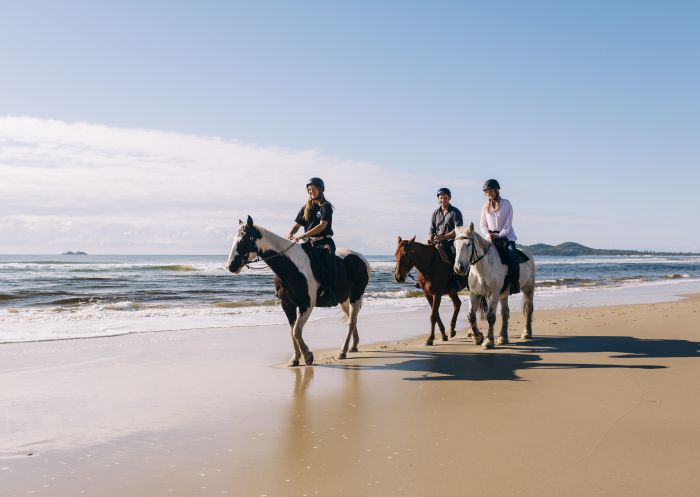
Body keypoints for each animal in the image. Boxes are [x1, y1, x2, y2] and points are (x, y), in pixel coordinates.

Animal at [228, 216, 372, 364]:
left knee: (350, 322)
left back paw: (342, 351)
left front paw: (308, 355)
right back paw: (353, 346)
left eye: (244, 239)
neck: (291, 267)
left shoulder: (306, 304)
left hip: (356, 296)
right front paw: (295, 358)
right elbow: (292, 331)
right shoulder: (287, 305)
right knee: (351, 319)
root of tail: (362, 258)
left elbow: (297, 331)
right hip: (344, 299)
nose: (231, 266)